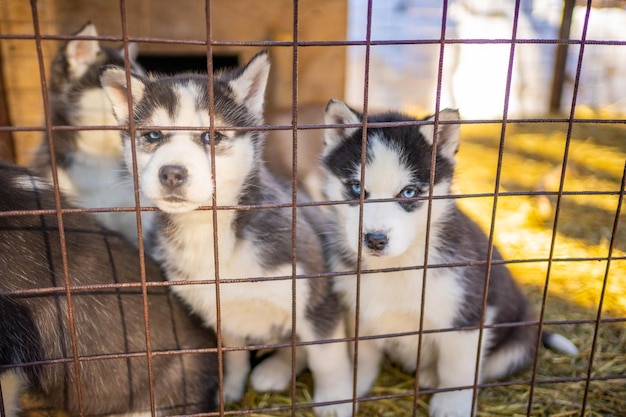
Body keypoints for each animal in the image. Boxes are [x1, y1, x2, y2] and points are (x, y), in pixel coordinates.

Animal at [101, 52, 356, 416]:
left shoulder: (315, 295)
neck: (212, 234)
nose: (172, 173)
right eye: (152, 136)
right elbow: (233, 358)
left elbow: (326, 356)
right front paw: (231, 391)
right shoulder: (221, 313)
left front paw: (335, 400)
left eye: (212, 137)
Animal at [320, 100, 576, 416]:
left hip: (515, 343)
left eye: (409, 192)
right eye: (357, 188)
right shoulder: (359, 312)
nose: (375, 240)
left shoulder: (468, 313)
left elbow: (457, 368)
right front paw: (348, 390)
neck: (396, 266)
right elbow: (363, 358)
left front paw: (453, 404)